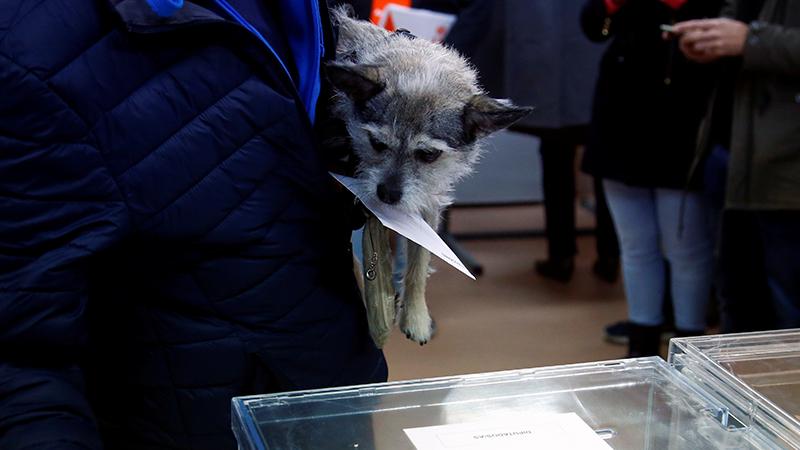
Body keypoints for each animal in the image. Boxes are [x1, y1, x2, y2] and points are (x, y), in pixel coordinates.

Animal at [324, 6, 532, 344]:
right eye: (377, 144)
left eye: (429, 155)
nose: (387, 194)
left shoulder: (428, 205)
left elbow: (419, 263)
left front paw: (416, 314)